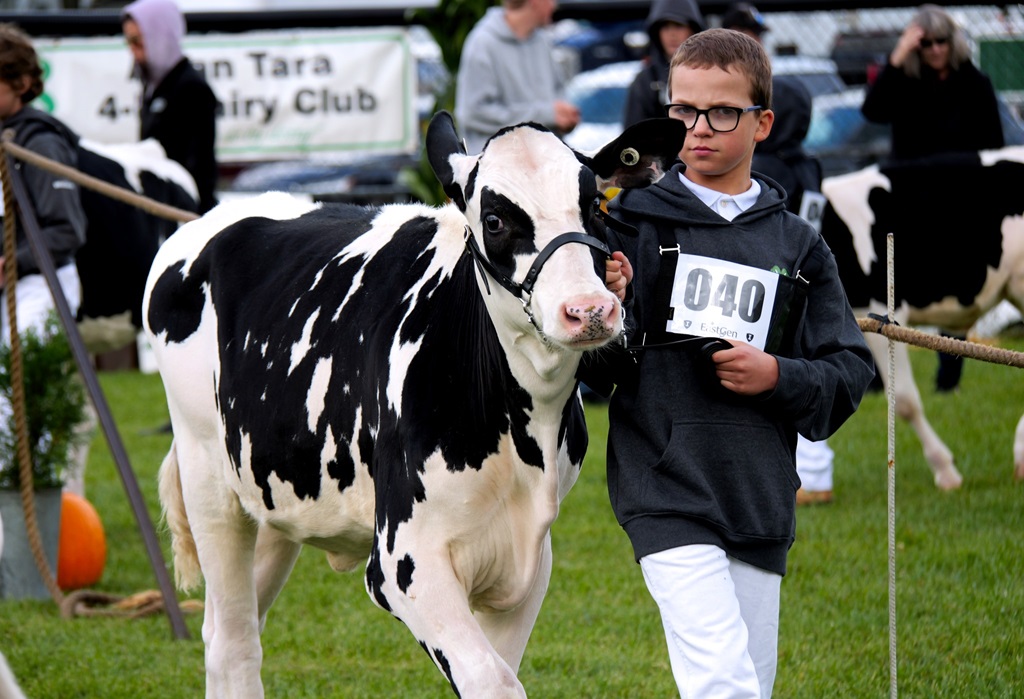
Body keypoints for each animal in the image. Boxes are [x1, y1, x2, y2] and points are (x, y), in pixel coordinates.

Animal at [142, 111, 686, 698]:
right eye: (494, 220)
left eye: (595, 206)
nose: (589, 310)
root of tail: (211, 219)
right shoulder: (404, 559)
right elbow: (494, 682)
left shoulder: (529, 556)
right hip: (209, 480)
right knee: (232, 643)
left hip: (274, 495)